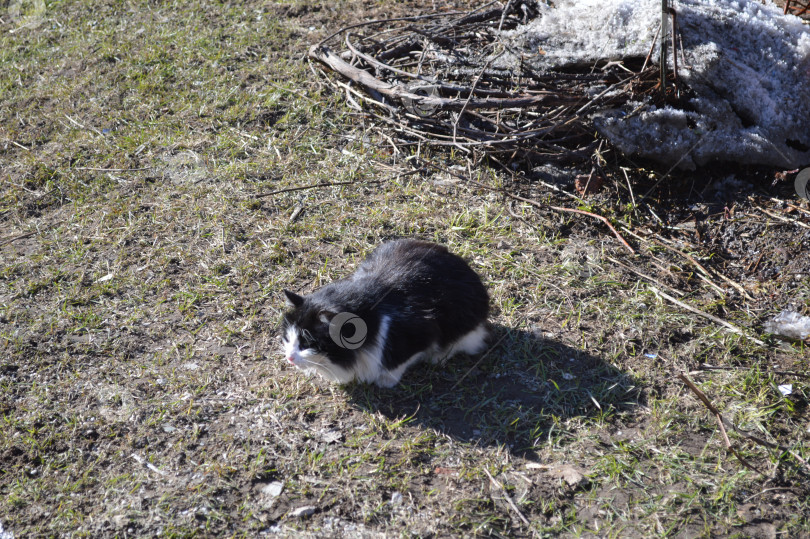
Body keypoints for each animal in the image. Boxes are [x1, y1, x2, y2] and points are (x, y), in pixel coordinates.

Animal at [280, 240, 490, 388]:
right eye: (288, 339)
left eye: (307, 344)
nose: (289, 358)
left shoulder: (423, 329)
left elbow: (401, 360)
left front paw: (386, 380)